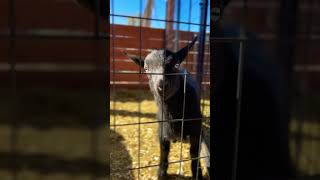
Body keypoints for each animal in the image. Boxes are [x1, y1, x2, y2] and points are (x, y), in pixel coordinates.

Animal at [125, 36, 210, 179]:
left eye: (176, 65)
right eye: (146, 69)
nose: (162, 85)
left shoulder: (196, 132)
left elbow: (194, 156)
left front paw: (197, 174)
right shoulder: (162, 132)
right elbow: (164, 154)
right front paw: (161, 173)